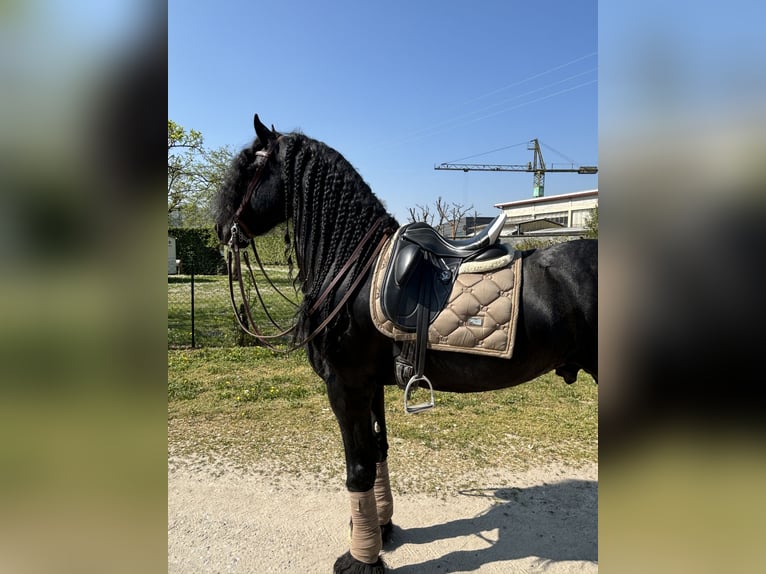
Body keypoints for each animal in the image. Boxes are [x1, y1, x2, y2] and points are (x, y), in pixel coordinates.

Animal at [214, 114, 597, 573]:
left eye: (248, 168)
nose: (219, 227)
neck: (353, 269)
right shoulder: (370, 384)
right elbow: (379, 451)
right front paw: (381, 530)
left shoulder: (345, 385)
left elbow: (358, 467)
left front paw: (360, 558)